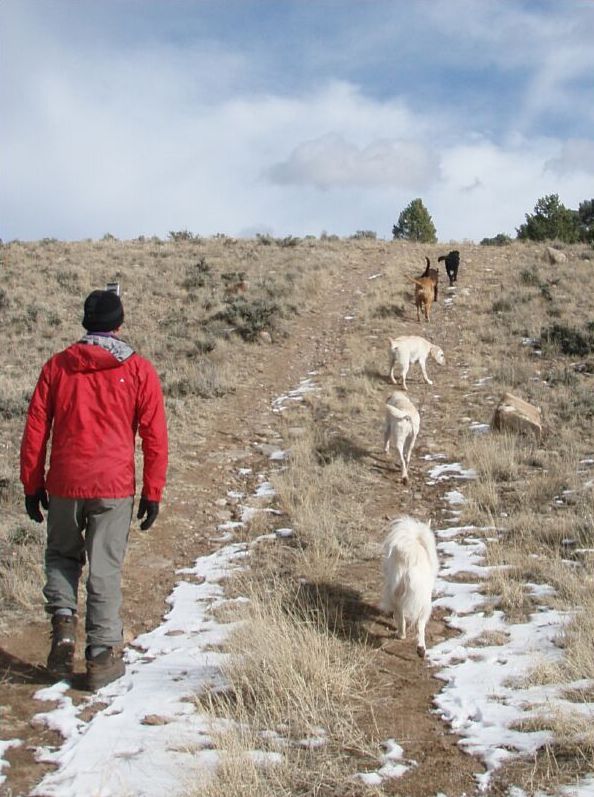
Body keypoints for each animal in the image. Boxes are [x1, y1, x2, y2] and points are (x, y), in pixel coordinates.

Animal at [382, 512, 438, 656]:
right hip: (425, 602)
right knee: (420, 625)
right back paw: (420, 648)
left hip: (396, 592)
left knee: (401, 615)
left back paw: (402, 635)